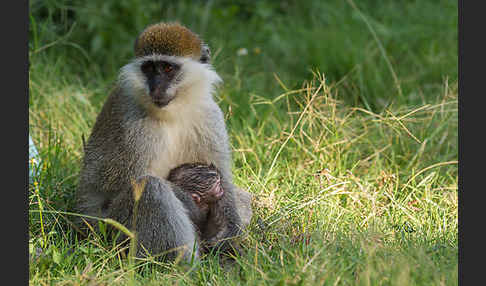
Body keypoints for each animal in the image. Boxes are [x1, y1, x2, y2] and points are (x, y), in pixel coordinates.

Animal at [76, 21, 243, 260]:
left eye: (167, 68)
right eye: (149, 69)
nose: (155, 88)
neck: (173, 112)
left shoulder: (210, 114)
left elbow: (223, 175)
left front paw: (228, 232)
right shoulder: (132, 126)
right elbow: (126, 184)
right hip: (112, 231)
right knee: (150, 187)